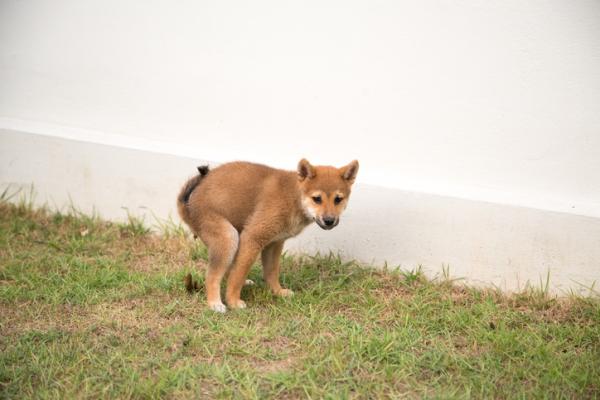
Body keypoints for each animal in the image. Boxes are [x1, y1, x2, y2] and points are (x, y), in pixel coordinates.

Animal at [176, 159, 358, 312]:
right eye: (317, 199)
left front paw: (277, 292)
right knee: (212, 275)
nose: (329, 220)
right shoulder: (253, 237)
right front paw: (233, 301)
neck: (293, 197)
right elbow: (238, 275)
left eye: (338, 199)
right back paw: (215, 303)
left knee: (227, 270)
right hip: (229, 237)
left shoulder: (274, 243)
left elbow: (271, 272)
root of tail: (188, 203)